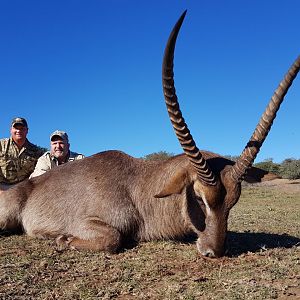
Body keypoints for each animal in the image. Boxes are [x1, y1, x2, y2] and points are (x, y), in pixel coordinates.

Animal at [0, 11, 300, 258]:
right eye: (200, 197)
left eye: (233, 201)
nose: (213, 252)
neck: (138, 186)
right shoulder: (88, 222)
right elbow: (113, 238)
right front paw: (62, 239)